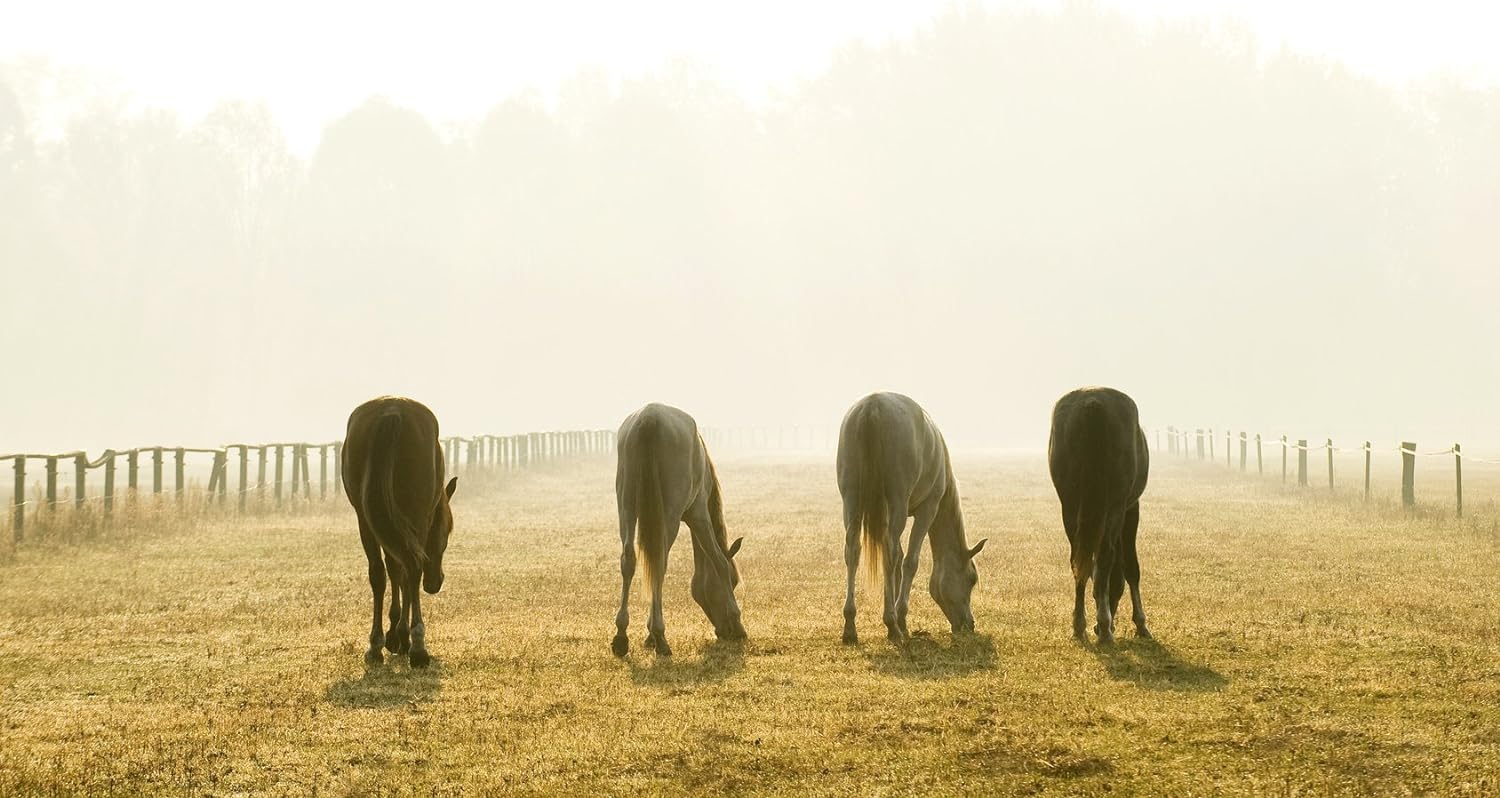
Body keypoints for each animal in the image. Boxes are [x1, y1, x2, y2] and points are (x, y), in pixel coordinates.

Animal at [342, 396, 457, 667]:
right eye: (446, 534)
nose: (435, 583)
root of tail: (392, 410)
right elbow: (403, 572)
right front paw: (401, 635)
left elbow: (390, 570)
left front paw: (391, 636)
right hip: (415, 515)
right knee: (413, 567)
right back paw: (417, 646)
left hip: (368, 519)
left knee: (380, 572)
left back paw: (377, 646)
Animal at [612, 403, 746, 657]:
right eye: (734, 582)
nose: (724, 632)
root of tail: (649, 418)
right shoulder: (699, 516)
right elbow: (719, 562)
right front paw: (738, 622)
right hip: (670, 515)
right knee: (659, 562)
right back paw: (660, 637)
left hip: (626, 507)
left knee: (629, 559)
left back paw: (621, 636)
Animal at [836, 392, 987, 645]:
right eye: (971, 579)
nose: (969, 624)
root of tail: (873, 406)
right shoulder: (928, 508)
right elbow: (909, 561)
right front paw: (901, 617)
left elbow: (898, 561)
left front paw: (900, 617)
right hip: (897, 499)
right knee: (889, 554)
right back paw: (891, 625)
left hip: (851, 498)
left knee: (853, 550)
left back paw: (850, 626)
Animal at [1047, 386, 1150, 644]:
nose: (1097, 626)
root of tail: (1093, 402)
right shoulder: (1130, 509)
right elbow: (1130, 568)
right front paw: (1140, 623)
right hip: (1113, 507)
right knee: (1105, 557)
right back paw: (1104, 628)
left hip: (1071, 506)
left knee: (1078, 561)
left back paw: (1080, 625)